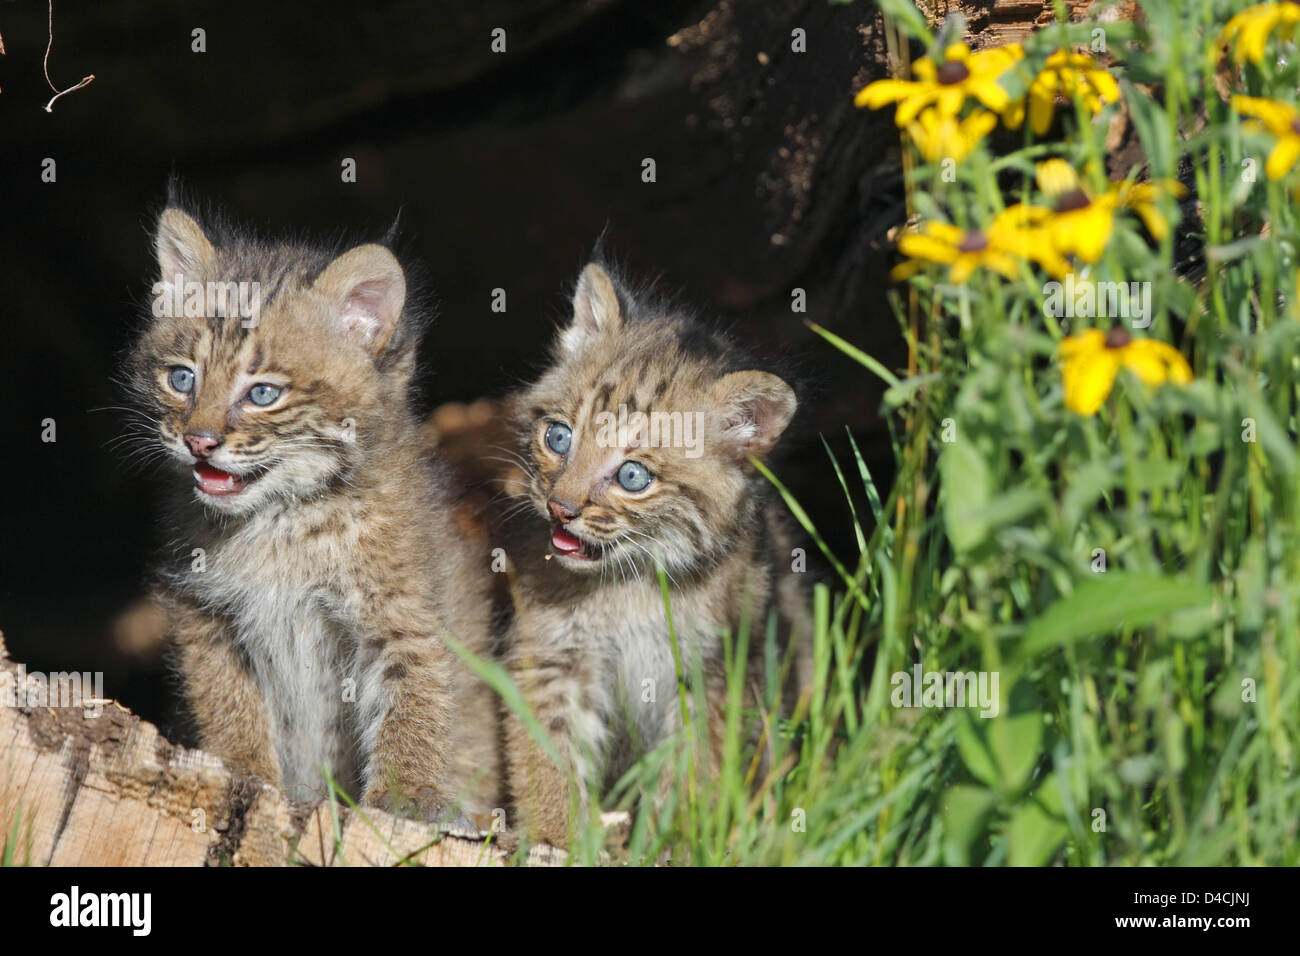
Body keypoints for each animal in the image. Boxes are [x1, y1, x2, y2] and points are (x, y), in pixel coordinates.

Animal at [126, 208, 499, 822]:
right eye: (182, 379)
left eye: (263, 394)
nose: (198, 441)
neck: (282, 518)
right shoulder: (201, 608)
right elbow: (226, 698)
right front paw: (243, 770)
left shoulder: (399, 616)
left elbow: (413, 697)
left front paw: (407, 800)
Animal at [501, 260, 806, 842]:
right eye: (558, 438)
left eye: (632, 476)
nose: (559, 509)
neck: (633, 580)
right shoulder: (555, 655)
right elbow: (547, 754)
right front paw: (557, 838)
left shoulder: (714, 670)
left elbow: (696, 768)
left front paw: (677, 839)